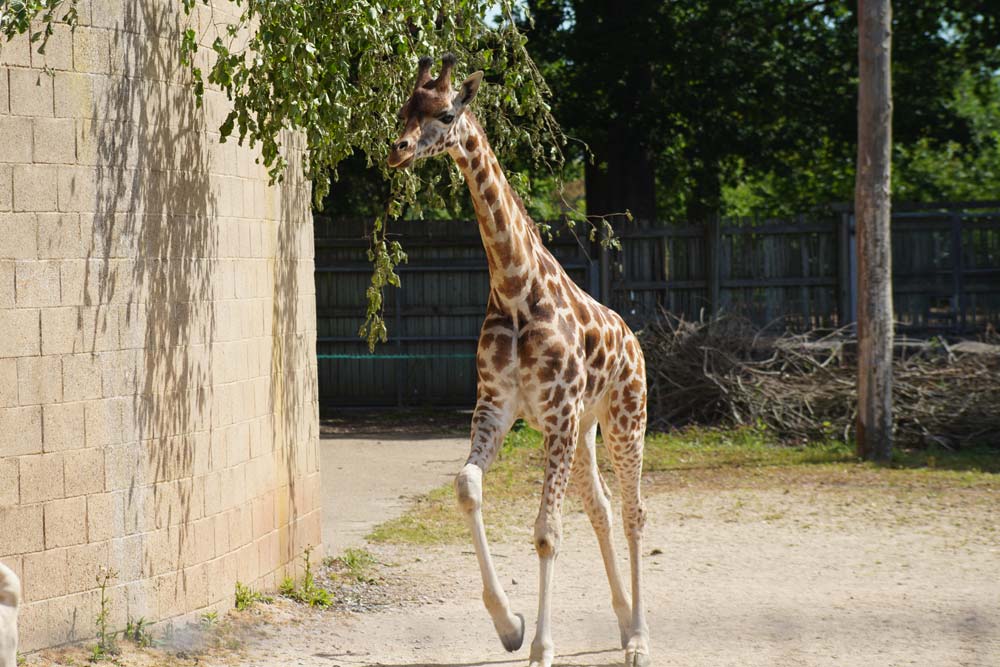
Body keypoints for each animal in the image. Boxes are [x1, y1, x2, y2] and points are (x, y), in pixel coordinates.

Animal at [388, 55, 651, 667]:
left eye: (446, 113)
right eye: (404, 108)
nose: (398, 150)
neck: (513, 289)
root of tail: (633, 338)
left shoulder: (554, 415)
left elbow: (548, 532)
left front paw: (541, 647)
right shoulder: (498, 407)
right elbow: (467, 487)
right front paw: (509, 626)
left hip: (626, 421)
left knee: (633, 513)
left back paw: (640, 638)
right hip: (586, 430)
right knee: (602, 508)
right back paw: (622, 621)